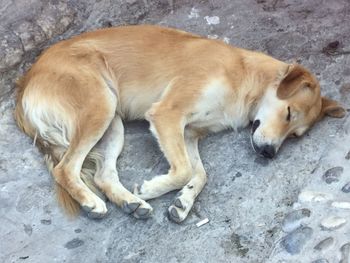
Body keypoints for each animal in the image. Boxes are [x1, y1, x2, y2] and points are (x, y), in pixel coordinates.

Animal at [15, 24, 346, 224]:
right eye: (288, 113)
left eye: (296, 135)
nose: (269, 154)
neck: (243, 76)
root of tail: (27, 79)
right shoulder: (167, 115)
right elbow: (186, 170)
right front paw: (153, 188)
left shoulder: (188, 133)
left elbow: (200, 175)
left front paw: (182, 201)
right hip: (100, 106)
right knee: (65, 168)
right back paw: (92, 202)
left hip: (113, 123)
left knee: (103, 175)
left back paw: (131, 202)